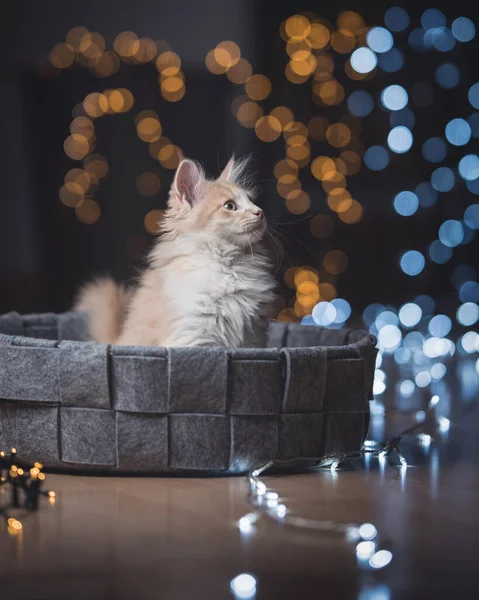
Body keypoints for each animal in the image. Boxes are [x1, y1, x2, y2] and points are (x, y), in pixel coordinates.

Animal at [75, 157, 278, 350]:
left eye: (252, 201)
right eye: (230, 206)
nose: (260, 212)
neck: (229, 265)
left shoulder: (253, 338)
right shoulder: (192, 335)